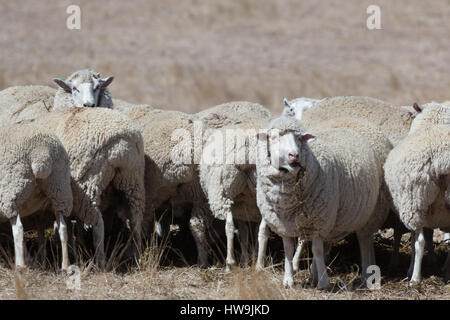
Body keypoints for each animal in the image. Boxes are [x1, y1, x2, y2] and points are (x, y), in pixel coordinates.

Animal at [0, 122, 73, 270]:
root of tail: (41, 153)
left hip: (12, 193)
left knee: (18, 229)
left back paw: (20, 265)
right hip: (59, 189)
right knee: (63, 227)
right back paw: (65, 265)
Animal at [33, 107, 146, 268]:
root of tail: (121, 143)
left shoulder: (59, 193)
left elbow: (53, 225)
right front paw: (76, 249)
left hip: (87, 184)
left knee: (98, 222)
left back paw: (100, 261)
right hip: (133, 180)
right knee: (136, 221)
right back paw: (138, 258)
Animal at [256, 116, 386, 288]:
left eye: (299, 138)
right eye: (274, 137)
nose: (294, 155)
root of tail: (351, 121)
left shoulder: (319, 222)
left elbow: (316, 250)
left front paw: (324, 282)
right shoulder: (284, 225)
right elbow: (288, 250)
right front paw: (289, 280)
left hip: (370, 214)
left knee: (364, 241)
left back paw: (366, 274)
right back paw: (314, 273)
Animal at [384, 104, 450, 284]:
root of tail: (441, 162)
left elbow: (416, 241)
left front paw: (410, 270)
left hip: (414, 204)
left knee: (419, 242)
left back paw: (415, 278)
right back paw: (446, 271)